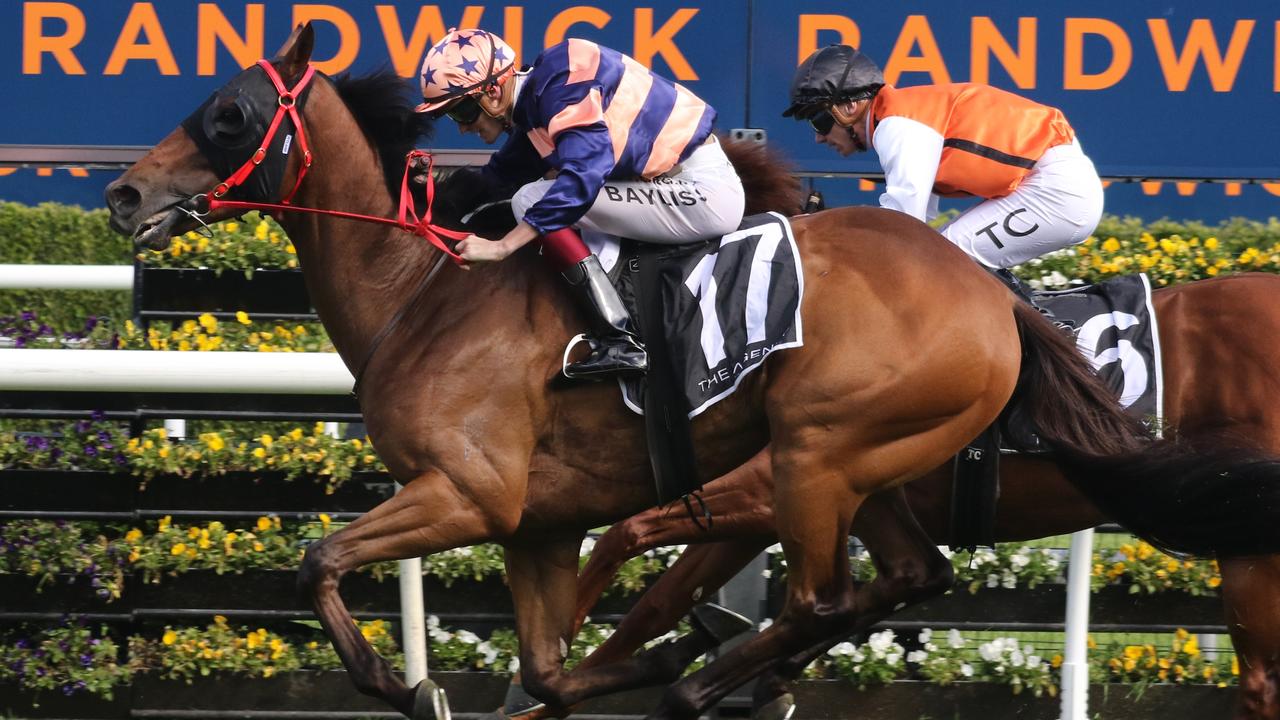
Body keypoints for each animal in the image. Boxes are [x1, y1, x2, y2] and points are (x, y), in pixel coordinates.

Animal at [517, 271, 1280, 717]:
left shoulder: (772, 483)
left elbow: (628, 537)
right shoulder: (782, 502)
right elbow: (661, 598)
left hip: (1252, 552)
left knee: (1261, 682)